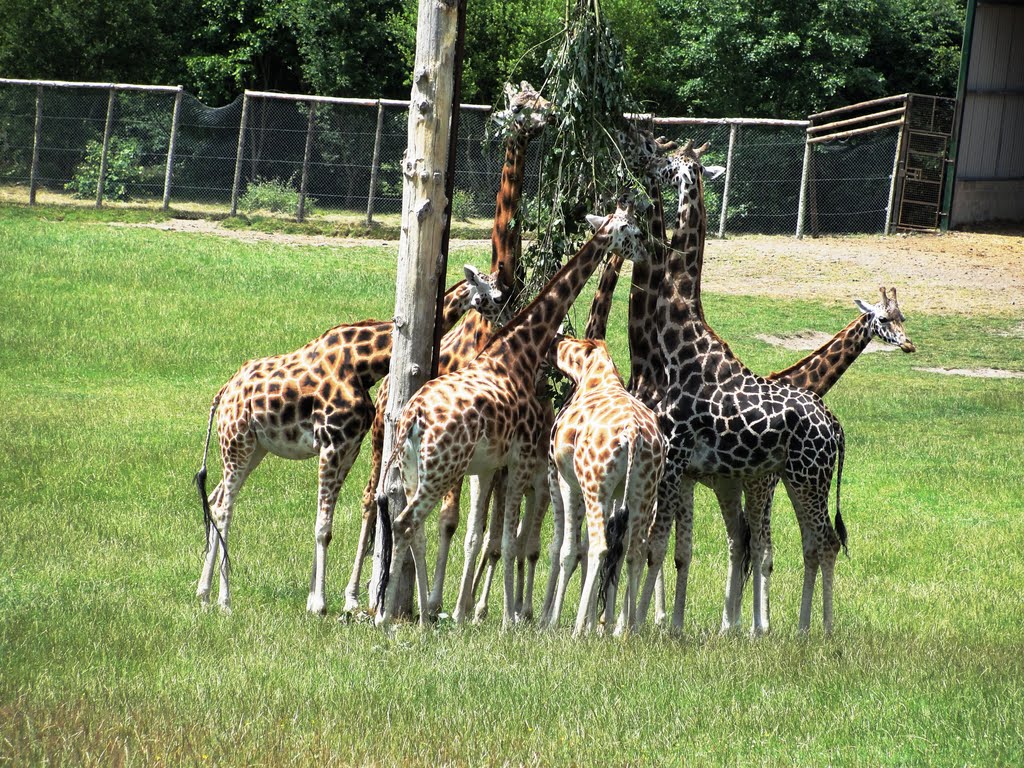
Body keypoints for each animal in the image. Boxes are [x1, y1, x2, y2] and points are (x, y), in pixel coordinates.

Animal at [191, 264, 507, 614]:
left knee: (216, 497)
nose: (508, 318)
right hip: (237, 443)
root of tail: (223, 393)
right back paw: (224, 599)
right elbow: (323, 527)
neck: (363, 365)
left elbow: (327, 520)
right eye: (497, 296)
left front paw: (314, 598)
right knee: (224, 507)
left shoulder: (349, 446)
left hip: (253, 448)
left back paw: (203, 593)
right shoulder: (332, 444)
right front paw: (319, 604)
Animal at [374, 201, 647, 626]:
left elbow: (489, 537)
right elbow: (505, 539)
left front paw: (476, 612)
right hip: (443, 469)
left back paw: (414, 612)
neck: (518, 351)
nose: (648, 251)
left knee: (410, 526)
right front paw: (506, 618)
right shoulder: (519, 459)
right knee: (406, 524)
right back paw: (387, 617)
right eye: (633, 231)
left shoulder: (492, 466)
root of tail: (410, 419)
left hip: (415, 468)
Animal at [540, 337, 659, 638]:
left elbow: (566, 549)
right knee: (634, 552)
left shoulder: (564, 480)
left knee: (598, 547)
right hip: (642, 492)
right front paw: (597, 626)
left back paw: (576, 630)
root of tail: (633, 432)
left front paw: (553, 621)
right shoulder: (611, 494)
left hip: (594, 487)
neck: (591, 370)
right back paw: (627, 630)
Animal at [638, 141, 847, 634]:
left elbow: (656, 545)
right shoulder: (686, 468)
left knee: (821, 542)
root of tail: (837, 430)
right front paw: (668, 625)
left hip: (805, 477)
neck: (680, 342)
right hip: (796, 477)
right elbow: (677, 548)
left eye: (669, 163)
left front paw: (631, 626)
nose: (646, 161)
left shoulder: (674, 456)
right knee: (808, 542)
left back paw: (817, 630)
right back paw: (796, 629)